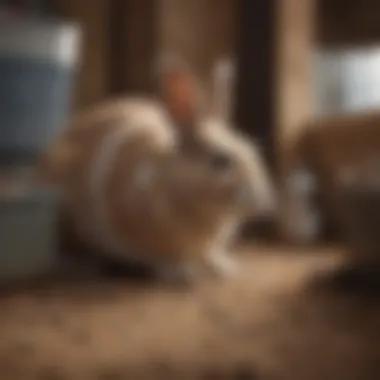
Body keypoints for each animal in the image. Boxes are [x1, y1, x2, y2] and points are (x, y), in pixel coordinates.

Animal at [39, 55, 276, 282]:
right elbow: (165, 259)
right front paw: (182, 276)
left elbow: (210, 256)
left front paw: (223, 270)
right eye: (220, 161)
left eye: (251, 149)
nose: (265, 200)